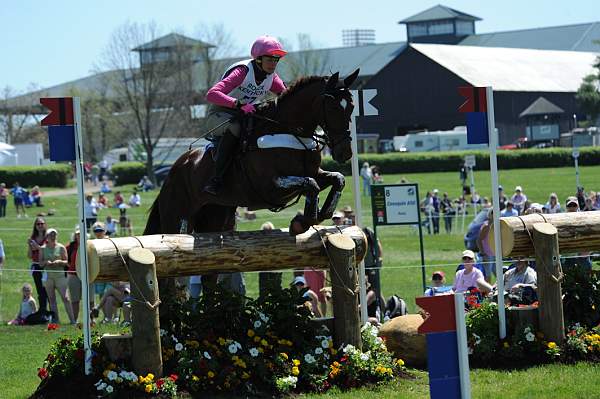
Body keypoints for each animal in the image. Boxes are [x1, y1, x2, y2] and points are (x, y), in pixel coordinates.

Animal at [144, 69, 360, 239]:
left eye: (351, 105)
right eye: (332, 107)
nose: (345, 153)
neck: (290, 131)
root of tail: (176, 167)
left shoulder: (313, 173)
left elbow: (337, 179)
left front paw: (319, 215)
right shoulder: (270, 186)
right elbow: (311, 185)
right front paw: (302, 222)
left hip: (216, 213)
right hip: (177, 216)